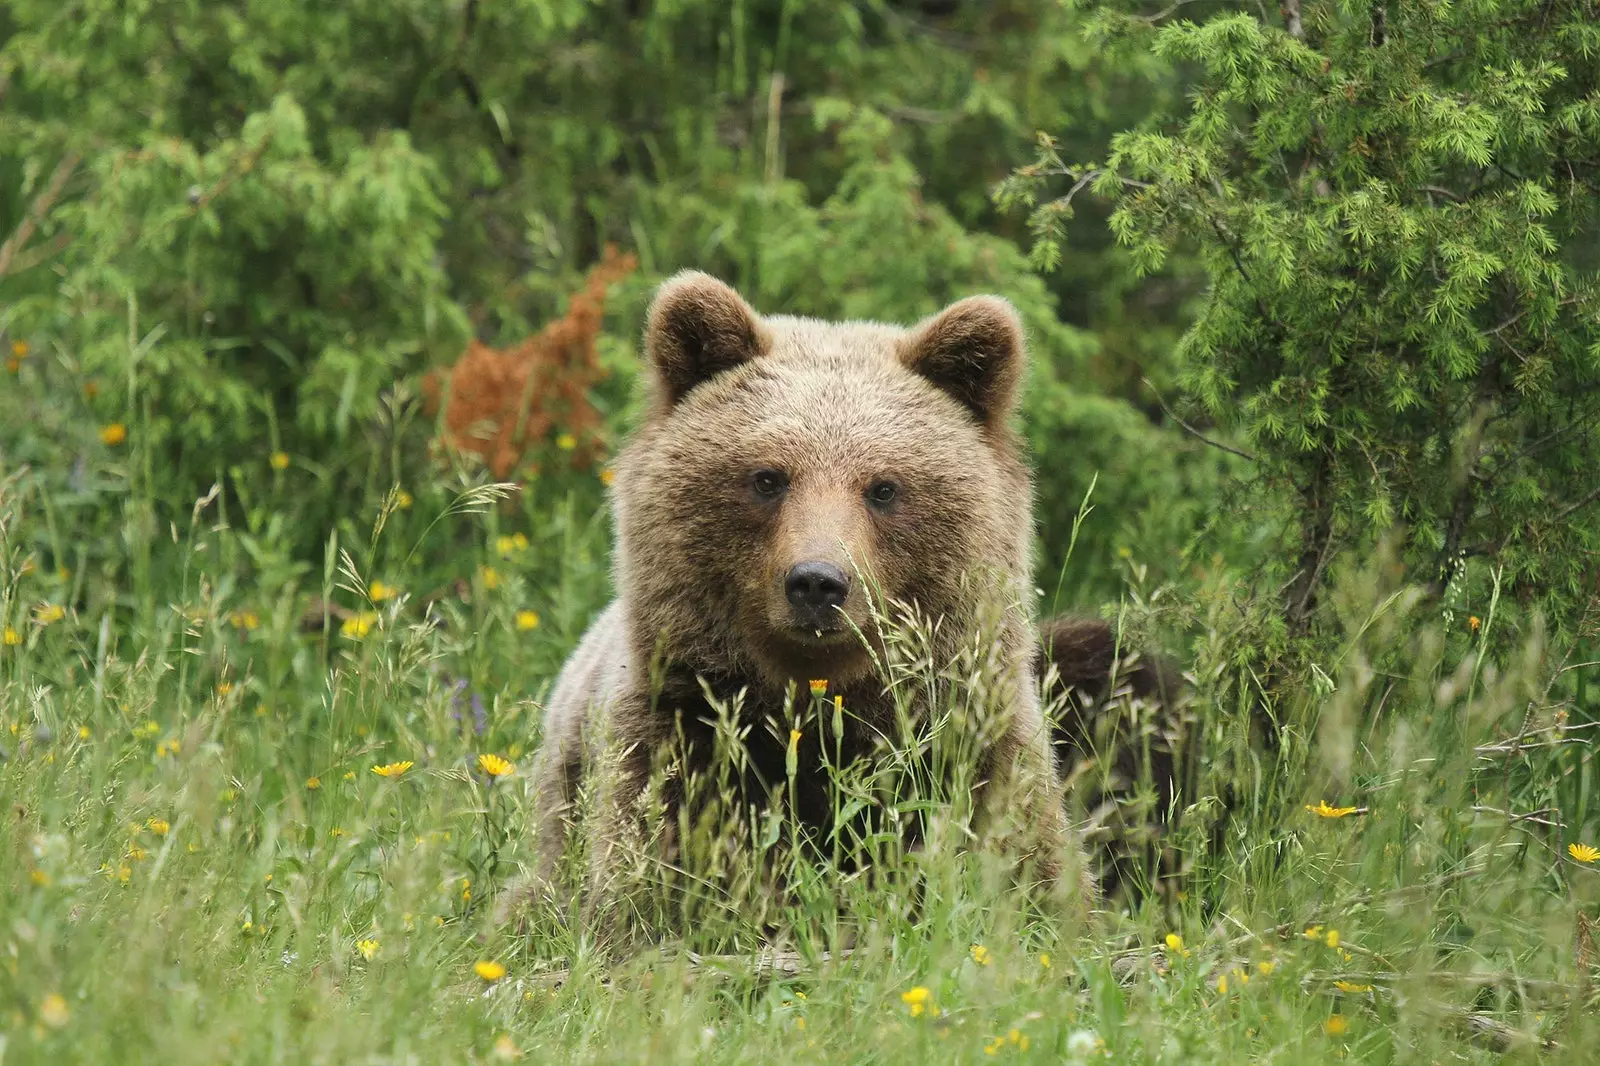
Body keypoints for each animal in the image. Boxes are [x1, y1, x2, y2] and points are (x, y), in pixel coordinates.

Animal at [508, 267, 1088, 928]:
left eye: (884, 487)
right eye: (768, 477)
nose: (817, 582)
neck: (817, 707)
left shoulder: (971, 740)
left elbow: (1028, 873)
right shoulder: (680, 733)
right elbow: (651, 872)